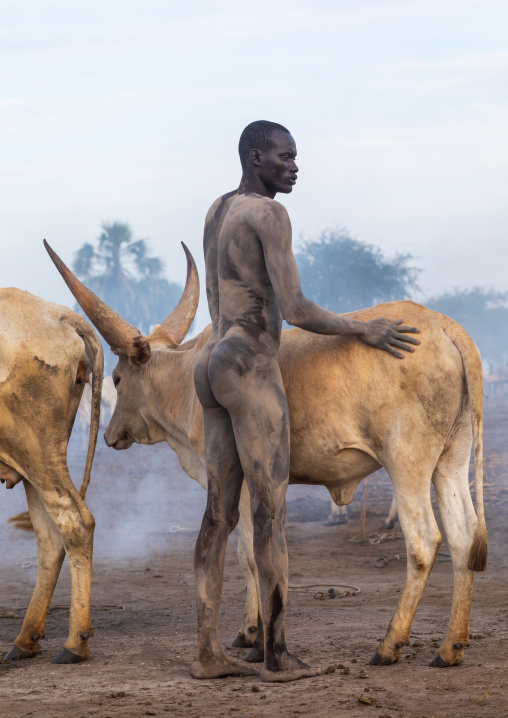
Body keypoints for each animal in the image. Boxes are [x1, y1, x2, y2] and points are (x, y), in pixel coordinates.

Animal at [1, 287, 103, 663]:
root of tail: (58, 314)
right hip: (33, 462)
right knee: (50, 536)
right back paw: (25, 639)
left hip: (37, 451)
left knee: (75, 522)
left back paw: (75, 642)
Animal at [45, 240, 487, 669]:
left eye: (118, 378)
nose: (110, 435)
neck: (187, 377)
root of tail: (446, 327)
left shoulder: (237, 479)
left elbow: (249, 556)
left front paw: (252, 638)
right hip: (451, 459)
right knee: (463, 536)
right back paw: (450, 648)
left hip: (406, 463)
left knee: (424, 541)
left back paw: (389, 645)